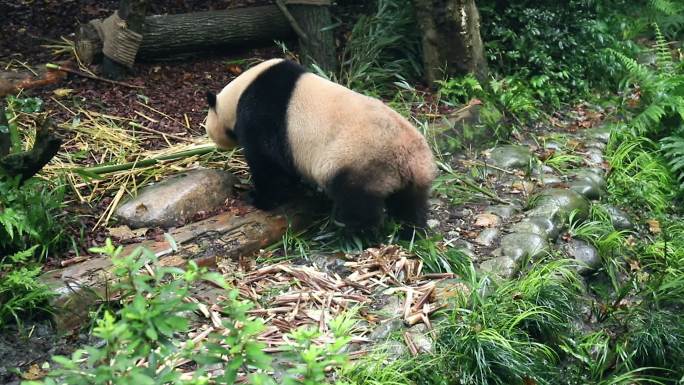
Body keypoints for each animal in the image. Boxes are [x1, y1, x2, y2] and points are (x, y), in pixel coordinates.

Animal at [206, 58, 436, 232]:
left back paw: (350, 231)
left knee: (357, 202)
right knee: (411, 203)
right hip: (410, 176)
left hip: (362, 162)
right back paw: (412, 229)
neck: (239, 92)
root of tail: (409, 160)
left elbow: (268, 165)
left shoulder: (261, 116)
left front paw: (257, 198)